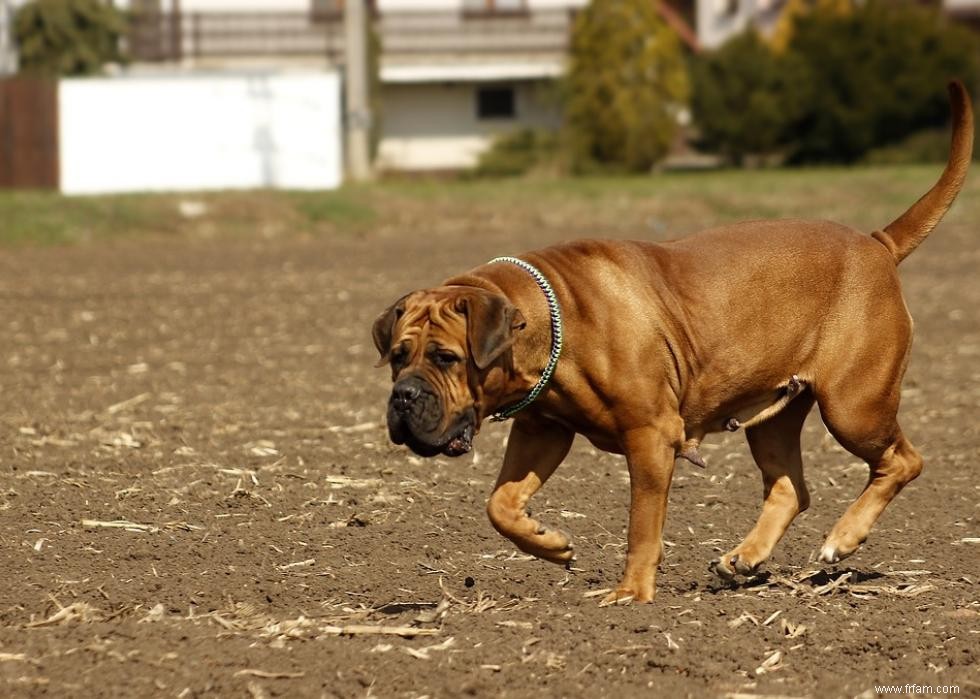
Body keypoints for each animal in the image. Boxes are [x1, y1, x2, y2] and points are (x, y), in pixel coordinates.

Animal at [370, 83, 972, 608]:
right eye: (398, 356)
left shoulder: (650, 437)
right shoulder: (544, 429)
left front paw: (630, 594)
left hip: (854, 406)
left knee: (903, 461)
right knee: (790, 488)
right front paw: (550, 543)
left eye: (446, 358)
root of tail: (877, 244)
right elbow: (500, 503)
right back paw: (743, 557)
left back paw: (842, 539)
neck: (548, 322)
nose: (403, 397)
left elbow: (641, 525)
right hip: (775, 417)